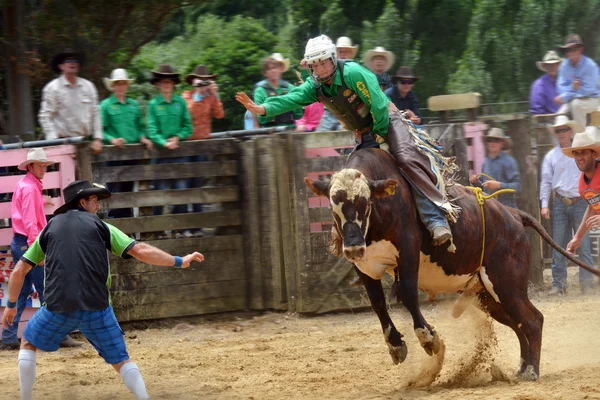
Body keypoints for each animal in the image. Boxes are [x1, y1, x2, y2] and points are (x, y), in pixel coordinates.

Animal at [304, 147, 600, 382]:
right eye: (333, 207)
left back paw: (532, 373)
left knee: (532, 319)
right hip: (488, 297)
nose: (353, 247)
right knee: (518, 324)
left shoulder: (408, 253)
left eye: (366, 203)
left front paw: (430, 340)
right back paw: (520, 369)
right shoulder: (365, 266)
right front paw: (396, 345)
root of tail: (514, 215)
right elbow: (378, 304)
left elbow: (408, 294)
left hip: (507, 283)